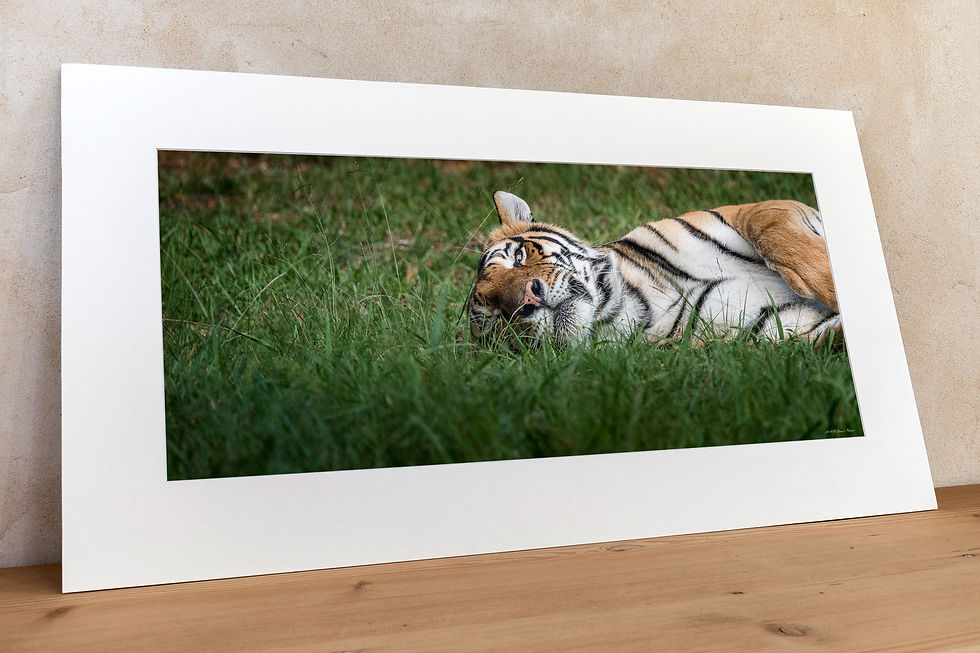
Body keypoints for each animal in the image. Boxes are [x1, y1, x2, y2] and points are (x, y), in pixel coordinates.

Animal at [468, 190, 842, 348]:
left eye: (517, 256)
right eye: (499, 320)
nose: (527, 301)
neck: (644, 297)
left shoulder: (751, 211)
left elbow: (770, 228)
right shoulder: (782, 330)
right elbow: (827, 340)